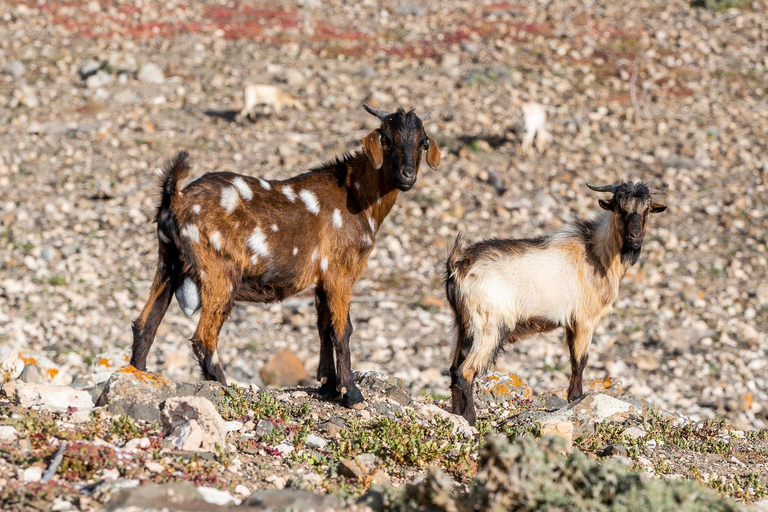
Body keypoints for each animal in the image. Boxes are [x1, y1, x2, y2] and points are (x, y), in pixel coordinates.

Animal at [444, 181, 664, 424]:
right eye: (619, 209)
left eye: (646, 211)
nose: (635, 237)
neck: (597, 254)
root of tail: (458, 266)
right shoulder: (585, 320)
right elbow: (580, 360)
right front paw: (576, 398)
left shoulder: (570, 324)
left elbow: (573, 358)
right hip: (488, 327)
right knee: (465, 372)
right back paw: (471, 419)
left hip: (461, 325)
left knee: (453, 369)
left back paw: (457, 414)